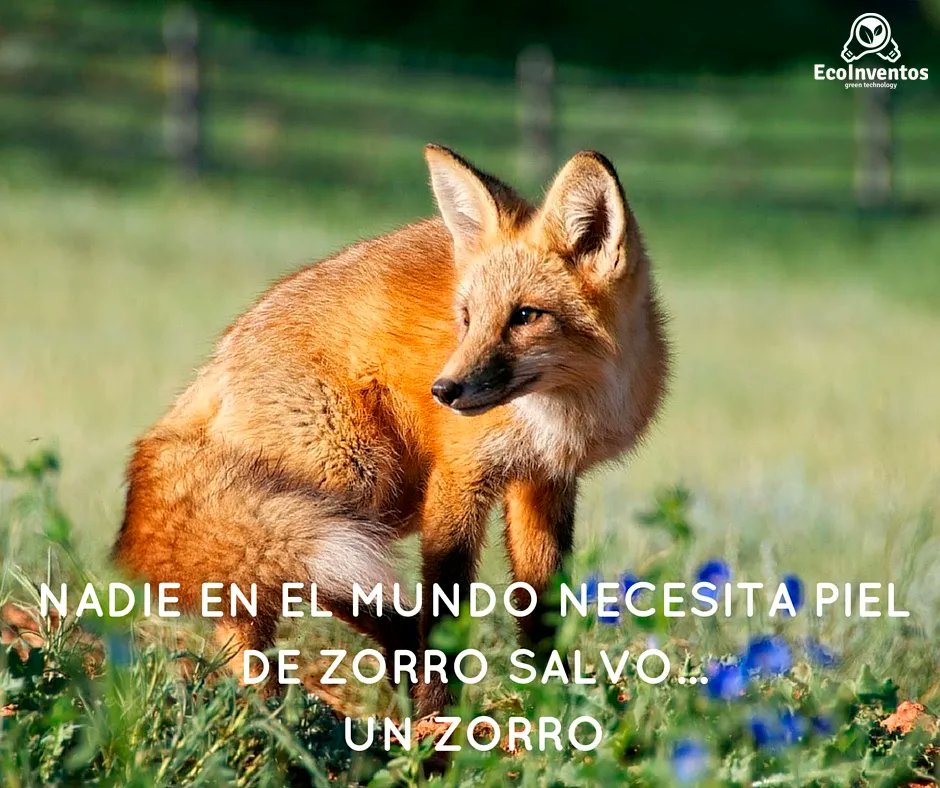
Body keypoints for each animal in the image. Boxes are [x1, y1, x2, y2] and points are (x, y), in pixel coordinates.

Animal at [113, 145, 669, 715]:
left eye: (526, 315)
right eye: (467, 318)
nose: (444, 391)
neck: (559, 414)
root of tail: (216, 361)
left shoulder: (544, 481)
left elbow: (542, 614)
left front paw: (550, 707)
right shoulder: (458, 478)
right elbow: (446, 612)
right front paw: (438, 721)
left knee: (248, 597)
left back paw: (273, 710)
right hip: (354, 486)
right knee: (281, 592)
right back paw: (291, 709)